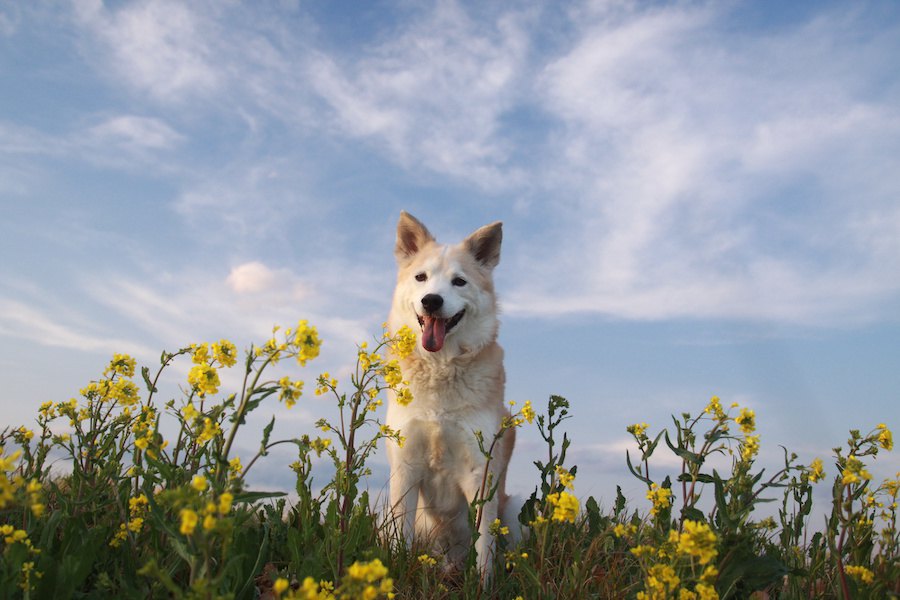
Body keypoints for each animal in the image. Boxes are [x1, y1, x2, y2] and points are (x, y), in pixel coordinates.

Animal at [384, 211, 516, 576]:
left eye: (459, 282)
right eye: (421, 277)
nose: (432, 300)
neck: (440, 369)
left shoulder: (480, 472)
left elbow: (484, 546)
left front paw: (483, 583)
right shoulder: (405, 466)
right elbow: (400, 534)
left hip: (514, 509)